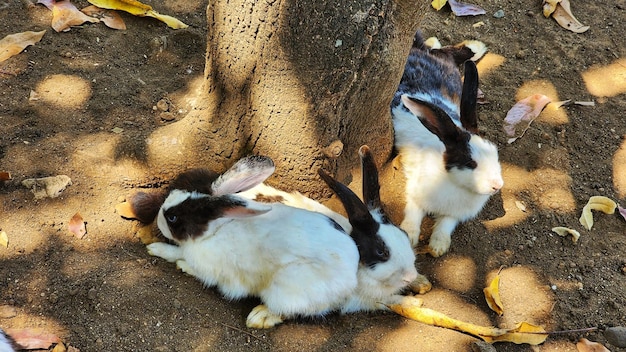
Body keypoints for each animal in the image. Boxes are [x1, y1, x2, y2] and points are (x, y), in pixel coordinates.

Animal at [390, 31, 502, 258]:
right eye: (470, 162)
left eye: (495, 154)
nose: (497, 186)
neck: (454, 184)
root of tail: (415, 52)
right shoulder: (415, 195)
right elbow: (413, 214)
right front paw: (410, 235)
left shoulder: (454, 215)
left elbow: (445, 225)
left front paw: (438, 247)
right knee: (441, 51)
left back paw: (474, 47)